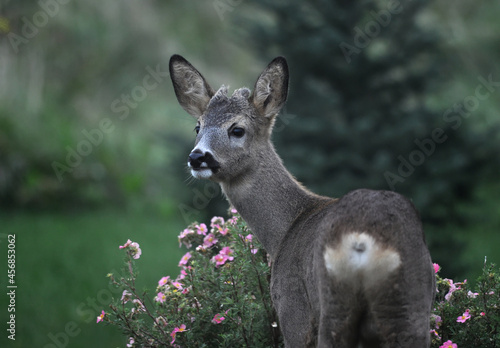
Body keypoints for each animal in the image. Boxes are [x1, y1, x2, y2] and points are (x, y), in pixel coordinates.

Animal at [170, 55, 436, 348]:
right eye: (198, 126)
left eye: (237, 129)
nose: (197, 157)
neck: (284, 232)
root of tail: (364, 241)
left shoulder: (291, 309)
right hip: (410, 303)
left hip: (329, 306)